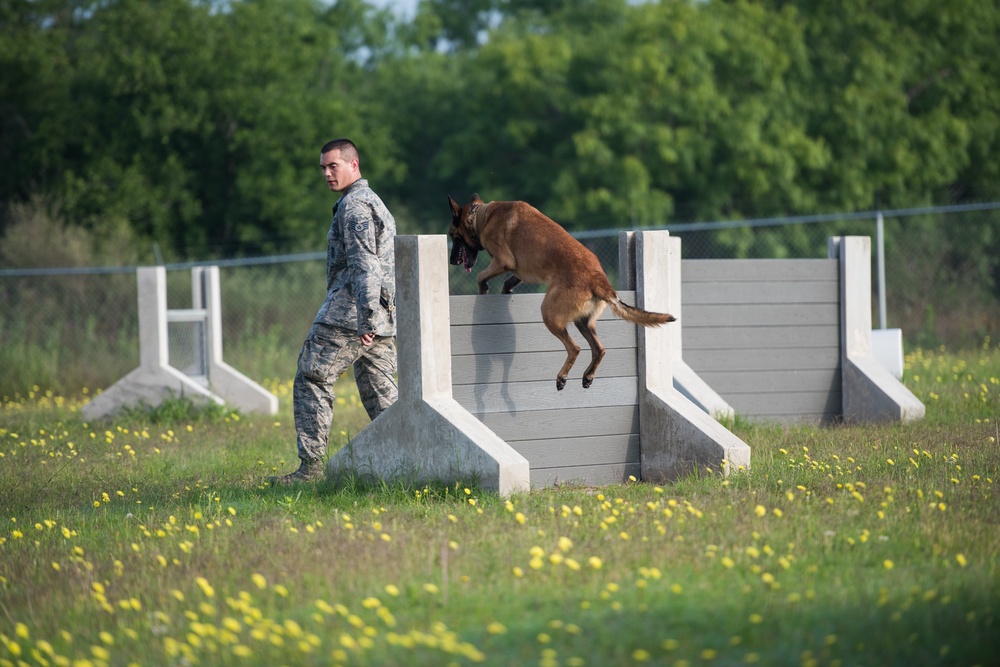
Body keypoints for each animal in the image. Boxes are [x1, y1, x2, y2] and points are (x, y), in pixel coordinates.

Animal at [448, 193, 676, 392]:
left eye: (451, 235)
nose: (451, 261)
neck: (481, 215)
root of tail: (598, 279)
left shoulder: (503, 261)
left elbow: (481, 276)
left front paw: (483, 290)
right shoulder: (519, 271)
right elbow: (510, 280)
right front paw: (505, 290)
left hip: (549, 313)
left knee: (574, 348)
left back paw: (562, 378)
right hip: (583, 322)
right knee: (599, 349)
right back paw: (587, 376)